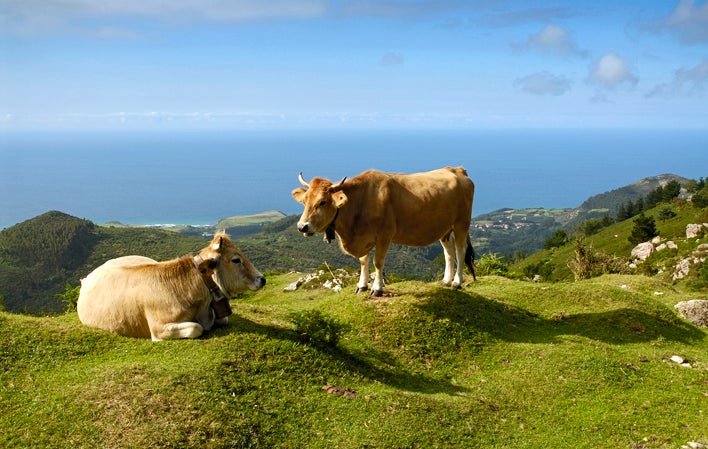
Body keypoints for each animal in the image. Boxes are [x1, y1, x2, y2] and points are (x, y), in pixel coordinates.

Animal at [294, 166, 476, 296]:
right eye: (304, 201)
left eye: (322, 202)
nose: (302, 226)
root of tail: (457, 169)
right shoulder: (363, 238)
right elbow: (363, 261)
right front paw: (362, 285)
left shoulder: (384, 236)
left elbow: (378, 262)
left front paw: (377, 288)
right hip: (445, 228)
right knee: (449, 252)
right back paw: (446, 281)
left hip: (462, 223)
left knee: (460, 251)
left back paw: (457, 282)